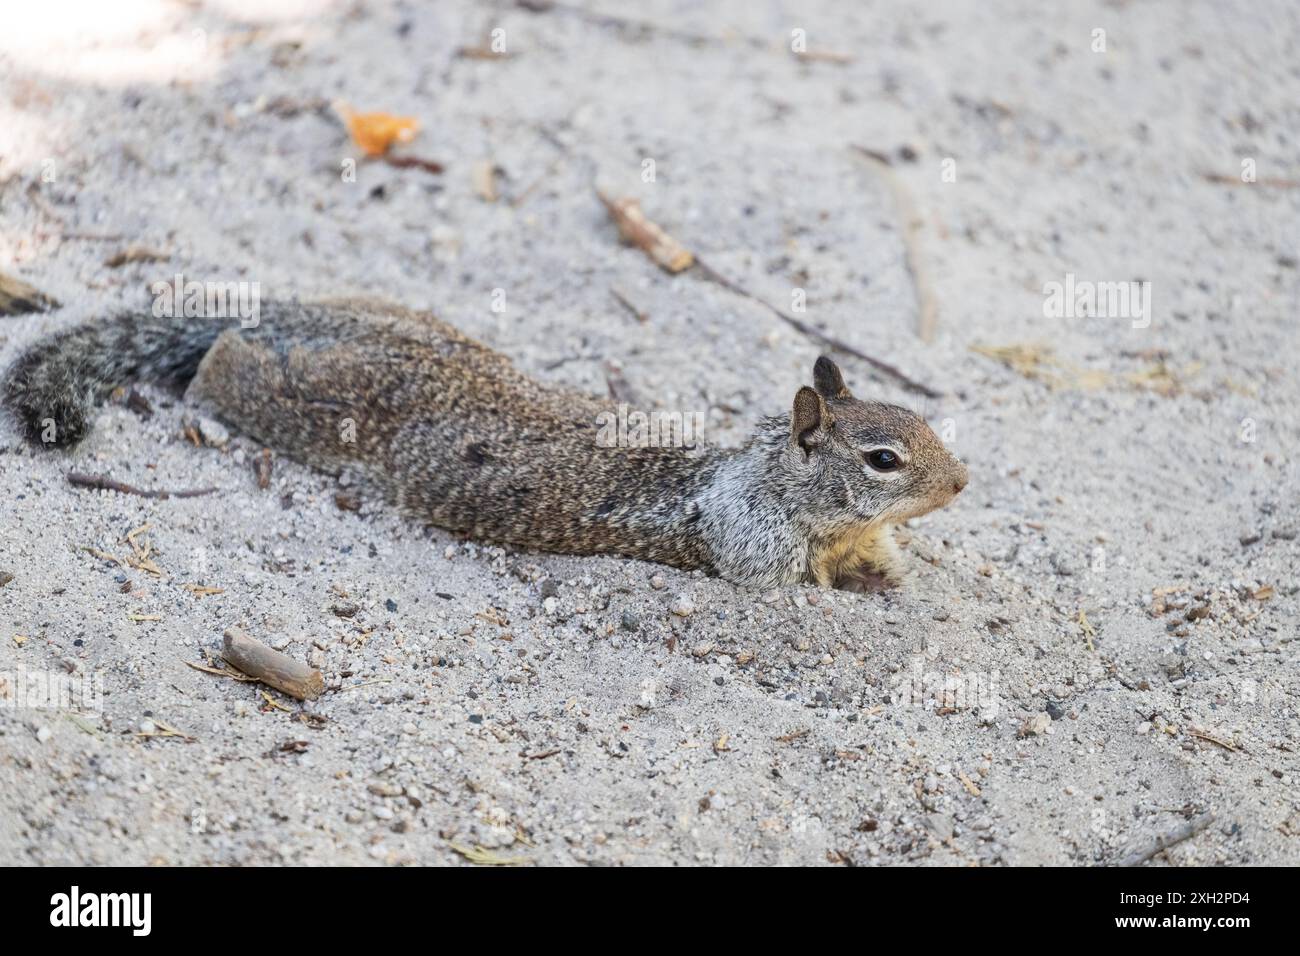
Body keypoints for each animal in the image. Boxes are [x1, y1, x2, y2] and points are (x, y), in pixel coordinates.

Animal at [2, 297, 967, 590]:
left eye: (921, 423)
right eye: (883, 458)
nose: (961, 482)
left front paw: (887, 580)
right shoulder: (752, 551)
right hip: (305, 404)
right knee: (226, 364)